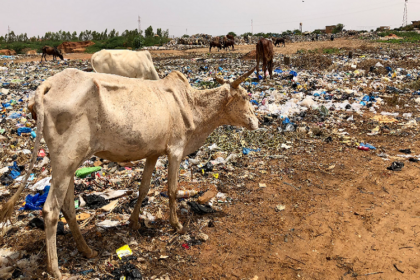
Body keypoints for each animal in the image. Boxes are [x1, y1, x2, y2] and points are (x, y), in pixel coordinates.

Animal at [1, 67, 258, 278]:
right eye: (245, 97)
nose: (257, 122)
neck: (192, 105)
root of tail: (47, 85)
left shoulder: (153, 153)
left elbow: (143, 188)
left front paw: (134, 222)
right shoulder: (176, 150)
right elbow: (172, 190)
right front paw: (177, 225)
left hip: (68, 164)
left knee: (67, 207)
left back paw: (87, 250)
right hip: (66, 160)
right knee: (51, 210)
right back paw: (55, 269)